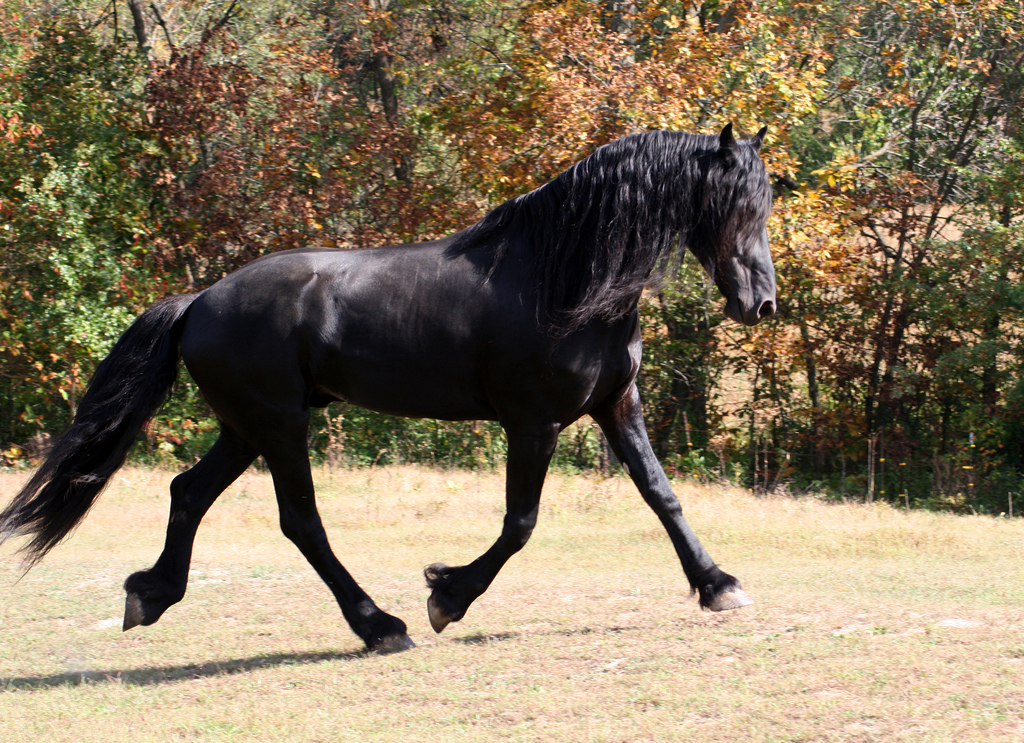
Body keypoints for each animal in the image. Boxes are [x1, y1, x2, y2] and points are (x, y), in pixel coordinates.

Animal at [0, 125, 774, 654]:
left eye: (765, 204)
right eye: (734, 204)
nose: (760, 303)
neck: (561, 277)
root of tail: (201, 301)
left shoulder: (616, 405)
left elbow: (661, 495)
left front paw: (719, 585)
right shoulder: (534, 423)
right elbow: (520, 523)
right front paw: (447, 596)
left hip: (246, 428)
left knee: (189, 492)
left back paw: (150, 593)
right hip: (279, 427)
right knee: (301, 522)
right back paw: (380, 624)